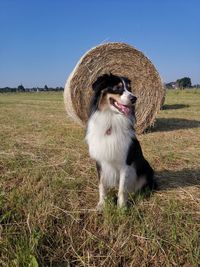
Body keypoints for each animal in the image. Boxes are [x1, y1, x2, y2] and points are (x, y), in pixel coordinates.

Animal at [85, 74, 155, 211]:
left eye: (129, 88)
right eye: (117, 88)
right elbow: (102, 184)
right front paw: (102, 204)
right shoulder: (100, 161)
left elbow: (122, 189)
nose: (134, 98)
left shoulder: (125, 163)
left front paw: (121, 208)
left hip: (146, 168)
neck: (112, 118)